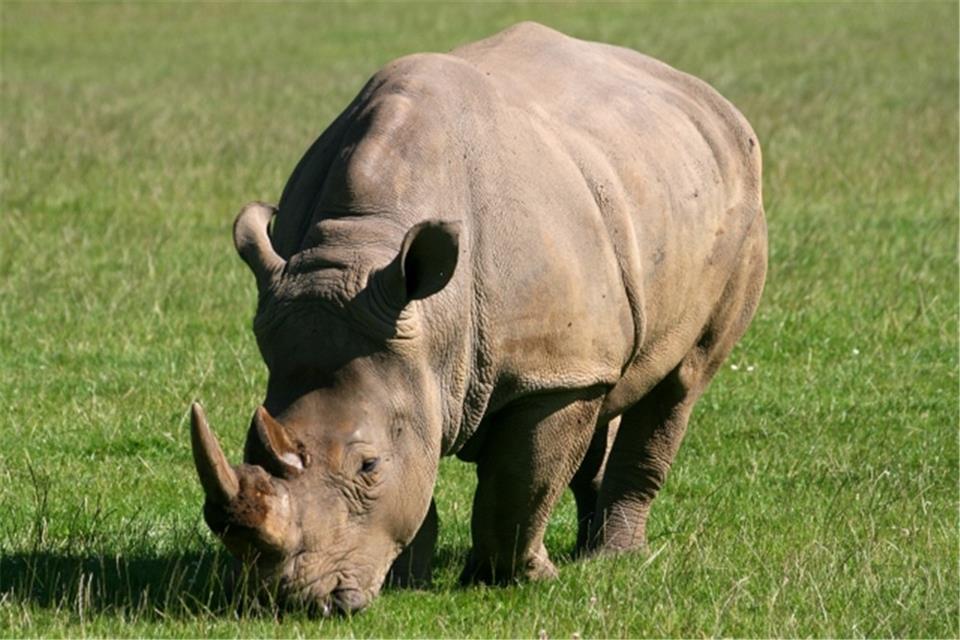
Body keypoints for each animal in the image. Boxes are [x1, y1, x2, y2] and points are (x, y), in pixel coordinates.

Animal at [189, 21, 766, 615]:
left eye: (368, 467)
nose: (292, 602)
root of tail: (704, 95)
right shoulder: (414, 361)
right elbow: (420, 472)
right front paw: (407, 581)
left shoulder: (548, 373)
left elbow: (520, 484)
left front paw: (514, 579)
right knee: (612, 385)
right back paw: (590, 549)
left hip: (742, 202)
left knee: (682, 380)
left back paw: (614, 557)